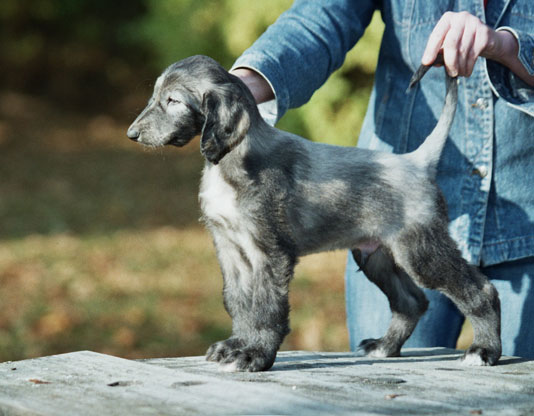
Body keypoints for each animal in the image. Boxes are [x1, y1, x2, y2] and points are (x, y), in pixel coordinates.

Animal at [126, 54, 502, 370]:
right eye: (156, 95)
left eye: (173, 101)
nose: (131, 134)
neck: (232, 162)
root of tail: (417, 161)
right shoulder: (230, 248)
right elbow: (239, 302)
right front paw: (236, 344)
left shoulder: (271, 252)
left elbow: (267, 307)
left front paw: (255, 353)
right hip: (376, 255)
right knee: (412, 301)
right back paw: (385, 345)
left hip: (421, 251)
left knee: (479, 290)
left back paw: (484, 350)